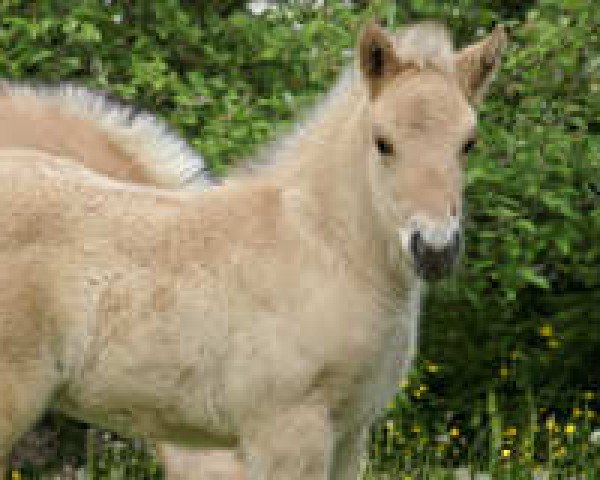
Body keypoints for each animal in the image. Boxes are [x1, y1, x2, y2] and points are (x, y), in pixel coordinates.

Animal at [0, 21, 506, 476]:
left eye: (469, 143)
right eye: (383, 142)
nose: (435, 249)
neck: (324, 247)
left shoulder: (349, 434)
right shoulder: (286, 432)